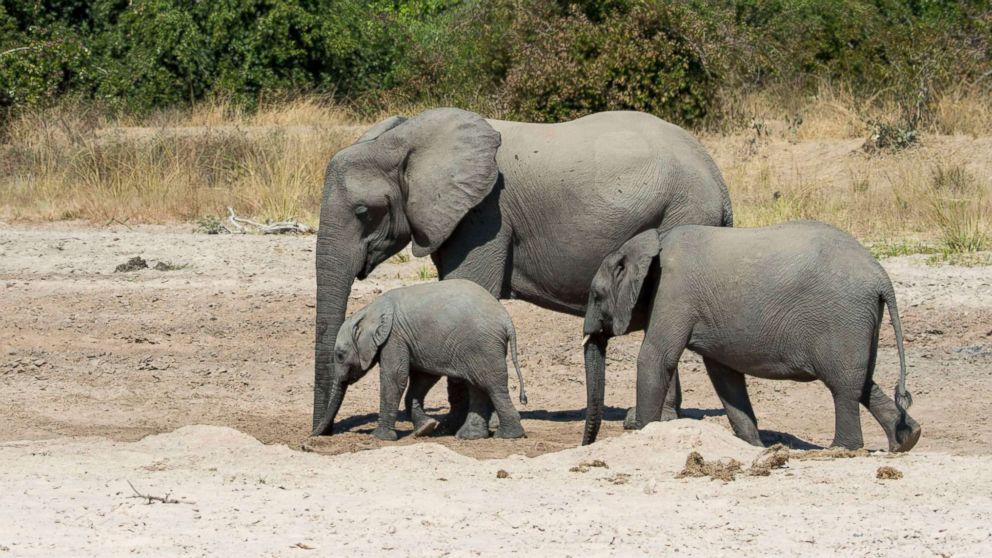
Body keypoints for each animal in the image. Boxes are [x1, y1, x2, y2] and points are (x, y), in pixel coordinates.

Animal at [314, 279, 528, 441]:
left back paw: (508, 436)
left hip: (482, 346)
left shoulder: (394, 337)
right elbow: (422, 379)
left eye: (340, 355)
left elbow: (395, 379)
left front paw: (380, 437)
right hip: (477, 349)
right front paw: (426, 427)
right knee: (477, 386)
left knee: (493, 386)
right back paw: (470, 436)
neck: (368, 311)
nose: (314, 435)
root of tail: (507, 320)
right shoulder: (411, 340)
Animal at [581, 221, 922, 453]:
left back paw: (842, 450)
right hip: (858, 321)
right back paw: (905, 441)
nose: (585, 445)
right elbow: (723, 374)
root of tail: (881, 276)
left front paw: (644, 433)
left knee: (843, 386)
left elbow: (655, 358)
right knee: (861, 381)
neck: (652, 241)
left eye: (596, 295)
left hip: (843, 317)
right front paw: (754, 447)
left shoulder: (673, 293)